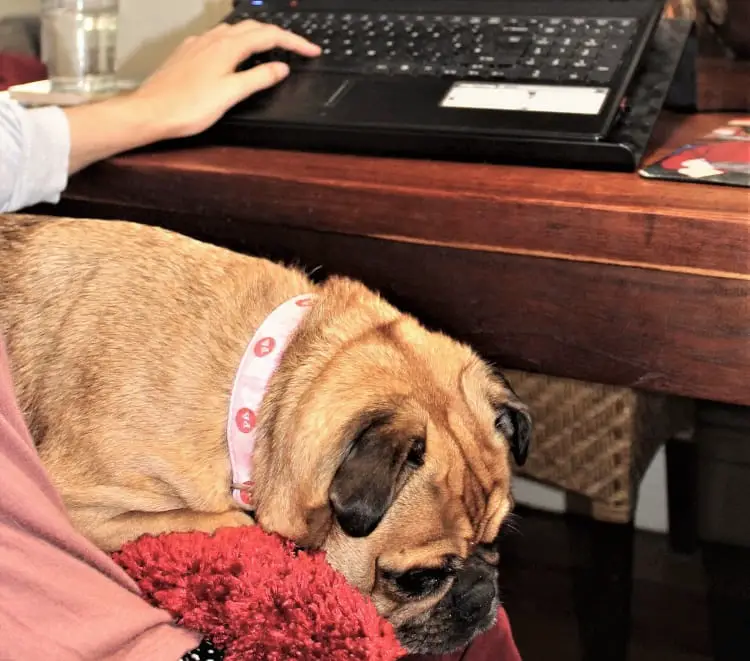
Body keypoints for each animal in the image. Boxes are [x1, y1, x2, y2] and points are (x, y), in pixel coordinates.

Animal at [0, 214, 532, 652]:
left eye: (495, 542)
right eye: (417, 579)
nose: (483, 594)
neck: (267, 379)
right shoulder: (86, 507)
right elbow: (231, 521)